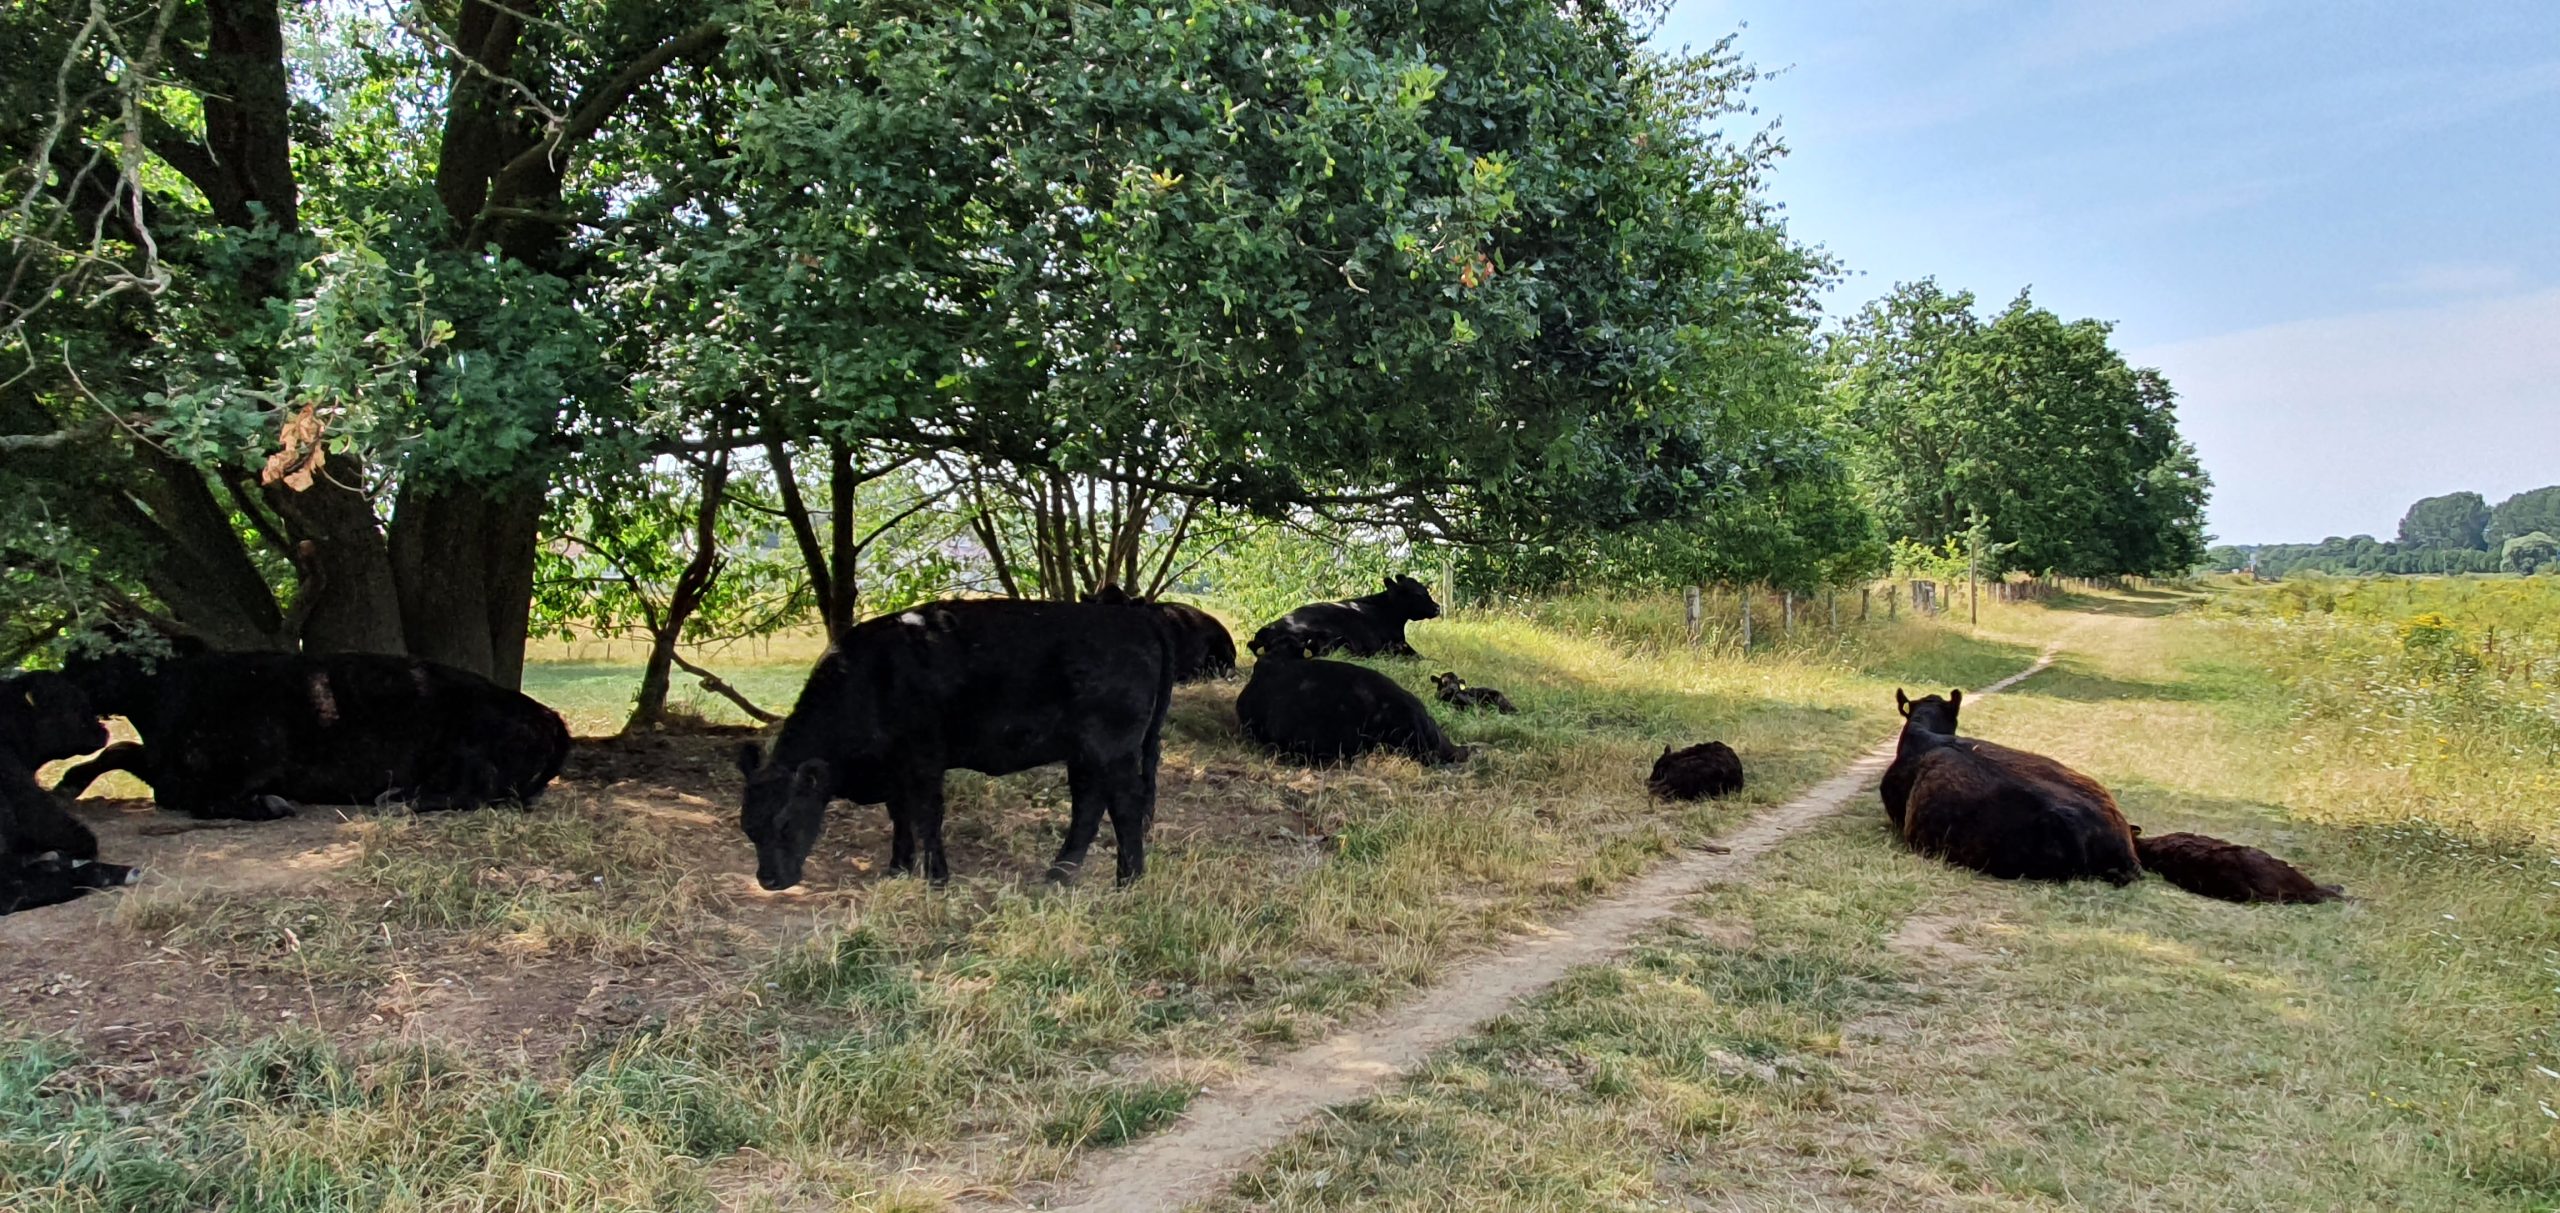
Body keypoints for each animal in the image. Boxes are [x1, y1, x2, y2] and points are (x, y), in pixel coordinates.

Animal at [55, 649, 571, 821]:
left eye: (83, 661)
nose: (53, 685)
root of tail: (546, 714)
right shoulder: (163, 767)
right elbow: (122, 749)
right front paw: (67, 784)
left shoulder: (249, 766)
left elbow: (203, 798)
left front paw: (266, 806)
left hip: (469, 748)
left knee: (478, 793)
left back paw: (400, 799)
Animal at [735, 599, 1175, 890]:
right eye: (748, 827)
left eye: (786, 823)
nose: (768, 879)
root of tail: (1134, 616)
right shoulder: (895, 768)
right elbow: (900, 815)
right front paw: (898, 868)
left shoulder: (924, 759)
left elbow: (927, 816)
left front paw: (936, 878)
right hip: (1084, 751)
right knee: (1089, 804)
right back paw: (1058, 875)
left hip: (1112, 746)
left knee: (1125, 805)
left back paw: (1128, 880)